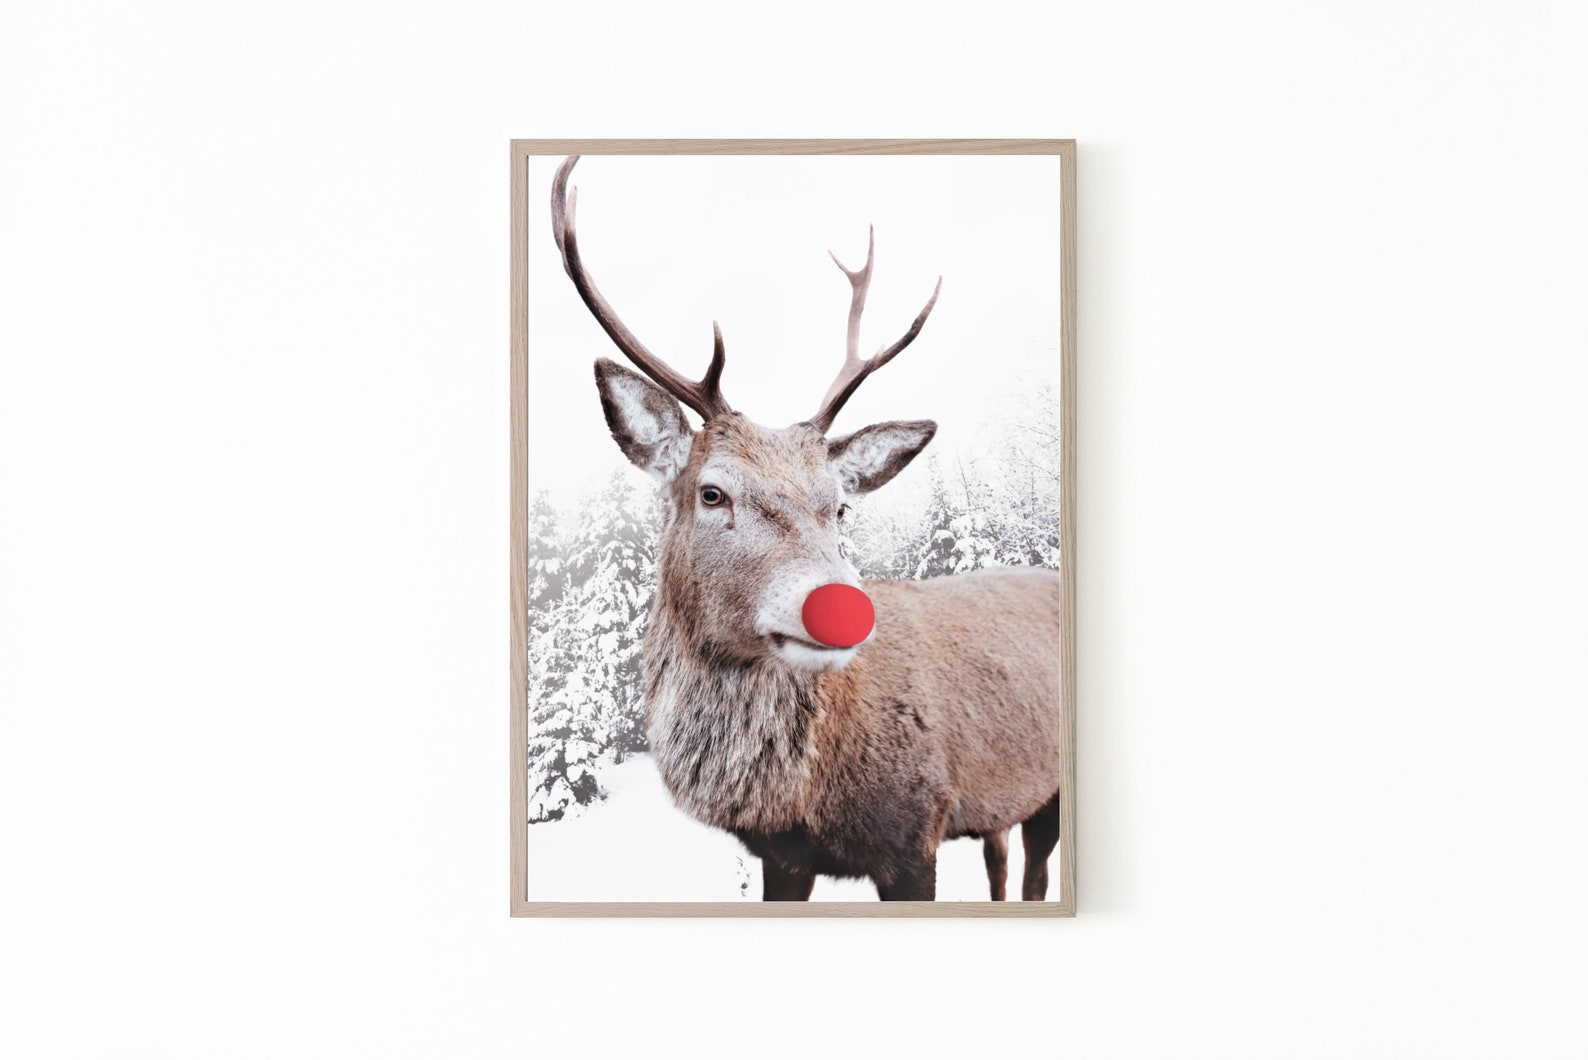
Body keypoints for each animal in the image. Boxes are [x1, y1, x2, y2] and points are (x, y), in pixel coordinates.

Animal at [549, 155, 1064, 901]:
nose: (842, 608)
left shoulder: (917, 830)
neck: (799, 799)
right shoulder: (782, 857)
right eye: (712, 493)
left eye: (839, 506)